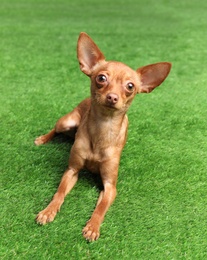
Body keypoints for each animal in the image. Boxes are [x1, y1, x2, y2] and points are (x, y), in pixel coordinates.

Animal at [35, 32, 171, 242]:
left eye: (130, 86)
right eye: (101, 78)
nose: (112, 97)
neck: (102, 129)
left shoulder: (110, 187)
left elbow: (101, 208)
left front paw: (92, 227)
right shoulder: (72, 170)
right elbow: (59, 193)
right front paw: (48, 211)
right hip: (66, 121)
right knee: (55, 130)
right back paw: (42, 139)